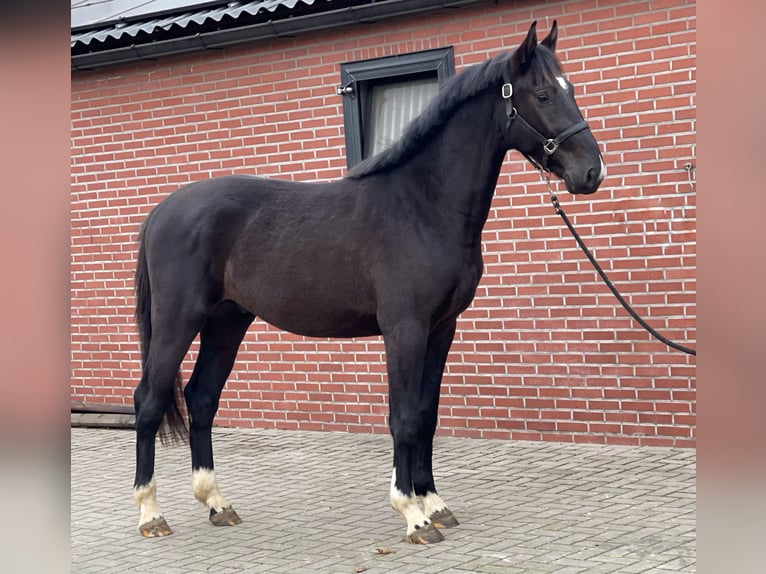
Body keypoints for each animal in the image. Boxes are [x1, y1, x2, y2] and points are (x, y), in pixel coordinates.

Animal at [135, 21, 608, 544]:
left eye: (571, 89)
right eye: (543, 94)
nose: (592, 171)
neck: (422, 206)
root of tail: (161, 212)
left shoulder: (441, 329)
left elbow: (426, 413)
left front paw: (435, 502)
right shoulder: (405, 329)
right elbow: (403, 417)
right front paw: (413, 514)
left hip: (227, 321)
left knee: (201, 398)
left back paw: (218, 503)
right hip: (179, 322)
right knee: (149, 401)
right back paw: (151, 514)